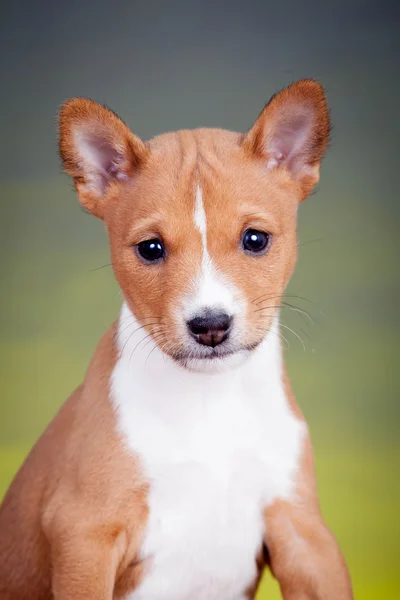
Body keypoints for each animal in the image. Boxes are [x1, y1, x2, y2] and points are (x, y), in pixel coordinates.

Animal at [0, 81, 354, 600]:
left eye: (255, 239)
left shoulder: (302, 532)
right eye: (151, 248)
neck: (208, 400)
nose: (210, 325)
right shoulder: (85, 535)